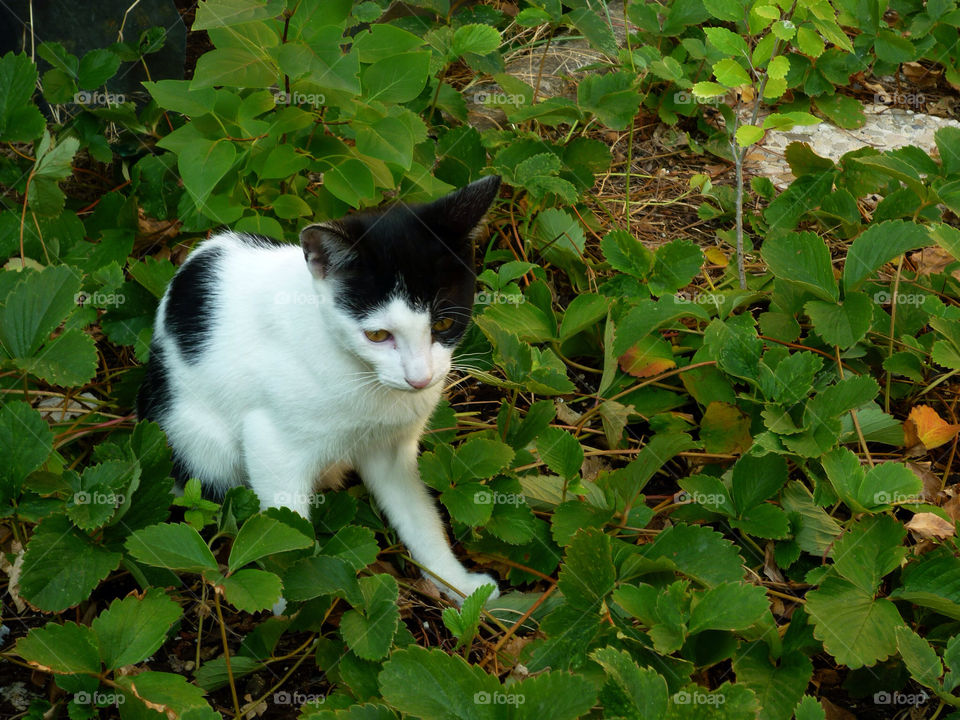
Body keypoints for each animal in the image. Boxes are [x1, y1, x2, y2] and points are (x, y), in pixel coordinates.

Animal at [142, 177, 506, 604]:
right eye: (378, 335)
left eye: (445, 323)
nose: (419, 379)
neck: (363, 376)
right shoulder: (272, 445)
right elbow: (283, 531)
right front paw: (285, 605)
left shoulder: (392, 449)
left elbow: (419, 515)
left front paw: (456, 583)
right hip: (199, 443)